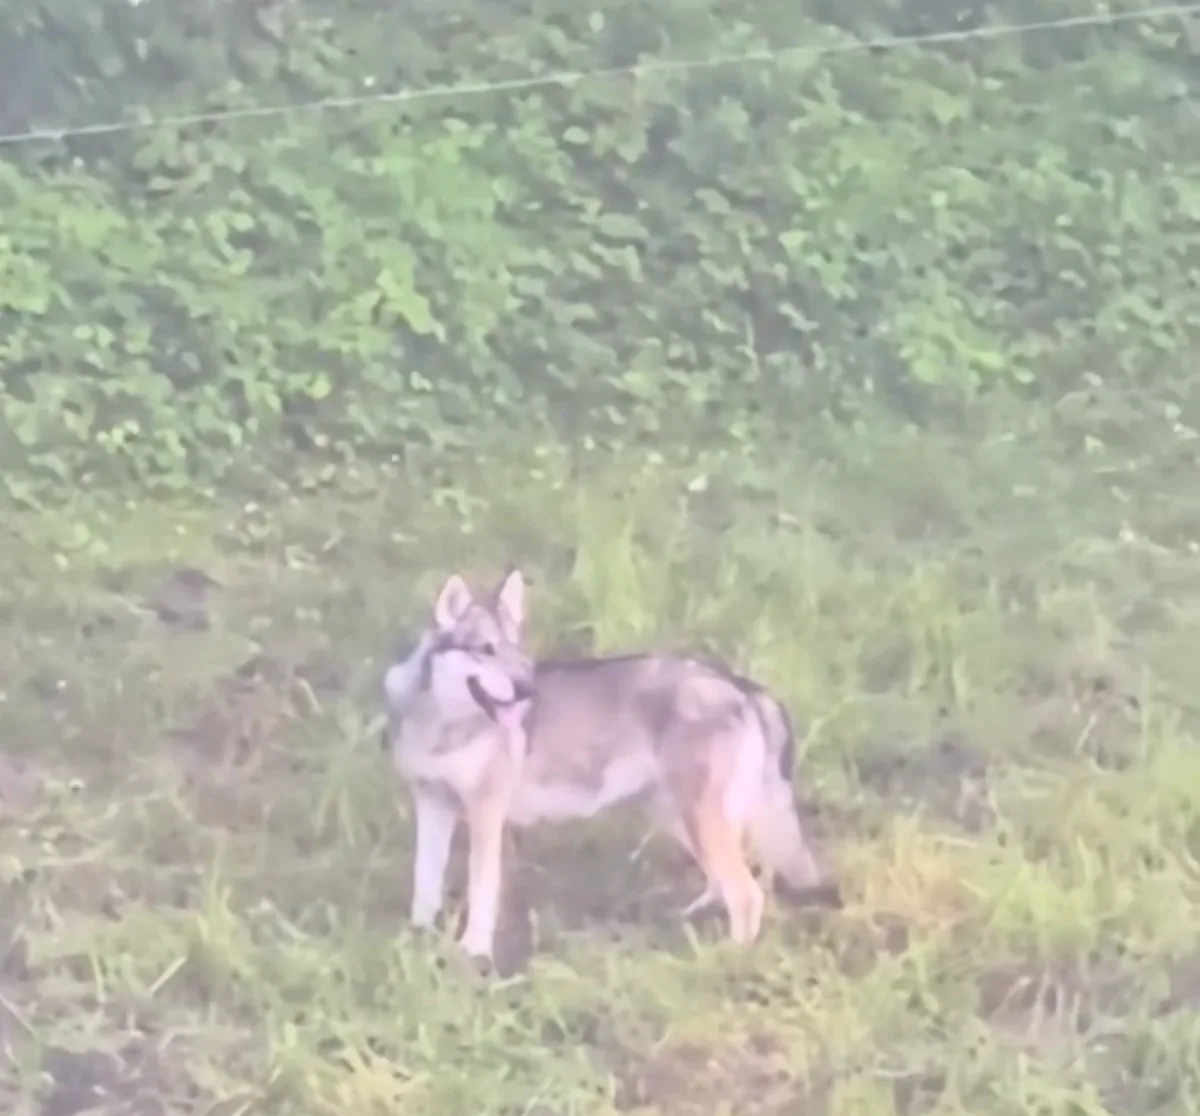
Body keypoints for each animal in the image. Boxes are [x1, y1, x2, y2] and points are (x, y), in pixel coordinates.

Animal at [382, 568, 833, 962]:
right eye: (486, 650)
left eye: (515, 650)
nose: (526, 688)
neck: (441, 722)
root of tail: (742, 685)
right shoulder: (432, 804)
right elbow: (425, 882)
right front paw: (417, 936)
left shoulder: (485, 814)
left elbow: (481, 890)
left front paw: (473, 953)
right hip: (678, 816)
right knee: (726, 883)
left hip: (699, 818)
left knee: (748, 893)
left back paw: (730, 959)